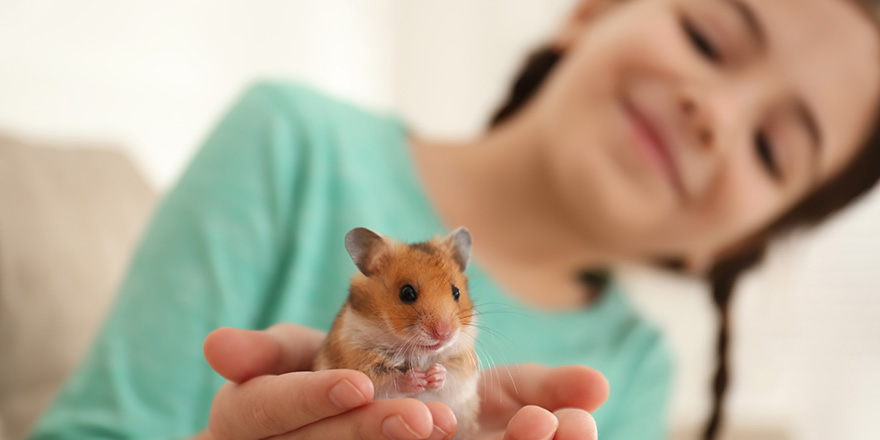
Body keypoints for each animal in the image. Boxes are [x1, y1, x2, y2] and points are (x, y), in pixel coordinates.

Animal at [314, 227, 482, 440]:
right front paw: (418, 378)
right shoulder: (358, 359)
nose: (444, 333)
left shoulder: (463, 365)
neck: (418, 352)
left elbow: (450, 373)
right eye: (407, 293)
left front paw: (433, 375)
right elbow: (388, 380)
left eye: (456, 292)